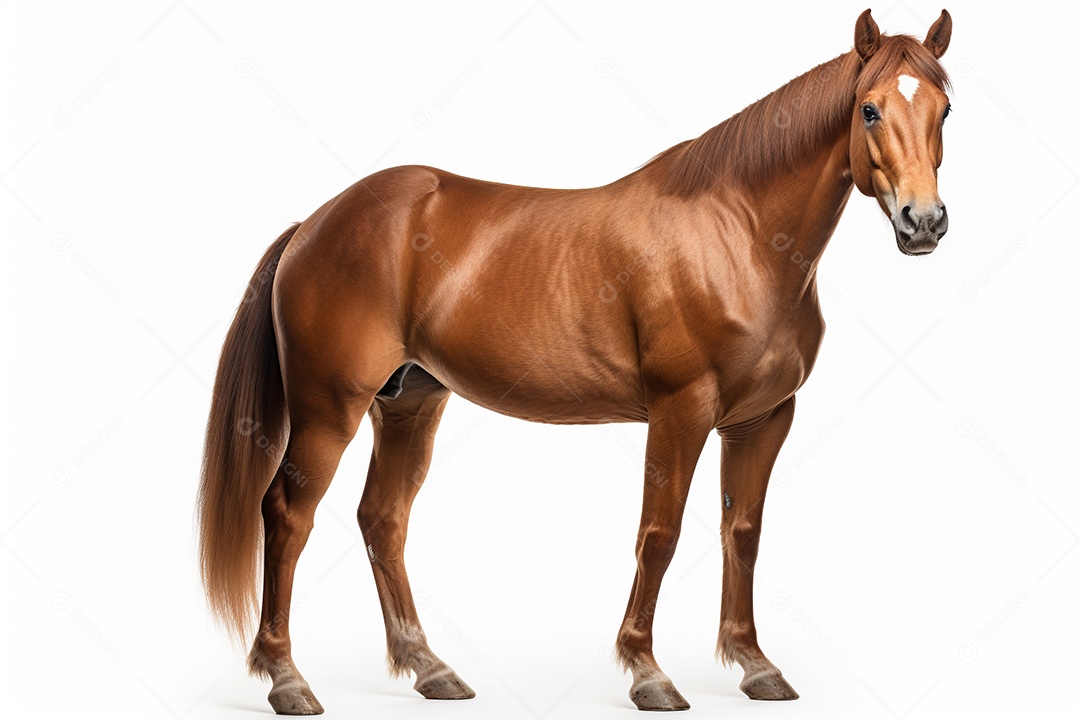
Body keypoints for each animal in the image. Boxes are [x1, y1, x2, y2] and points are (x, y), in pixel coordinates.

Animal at [199, 8, 953, 714]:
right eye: (869, 108)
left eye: (945, 107)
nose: (923, 222)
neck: (736, 233)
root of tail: (315, 222)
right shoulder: (681, 411)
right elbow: (660, 534)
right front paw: (648, 673)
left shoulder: (763, 418)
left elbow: (742, 532)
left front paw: (755, 665)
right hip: (329, 410)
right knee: (288, 515)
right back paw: (287, 678)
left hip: (409, 402)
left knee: (382, 520)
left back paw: (429, 669)